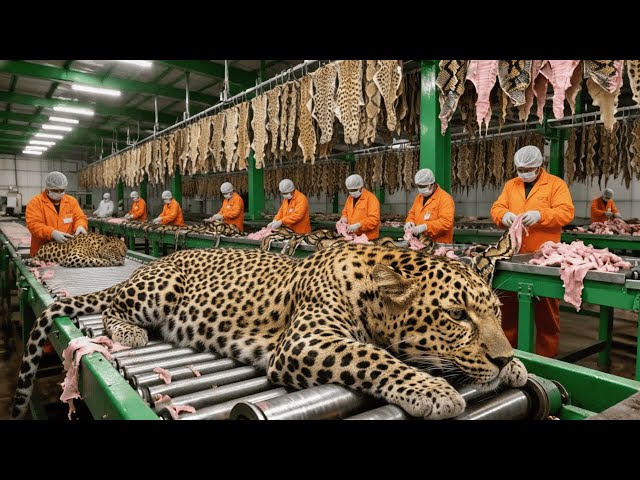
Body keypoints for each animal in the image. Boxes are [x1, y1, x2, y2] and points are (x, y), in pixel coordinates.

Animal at [11, 229, 527, 420]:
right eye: (457, 315)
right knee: (112, 308)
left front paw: (517, 368)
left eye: (497, 314)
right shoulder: (305, 341)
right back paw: (130, 332)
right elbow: (373, 355)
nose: (504, 358)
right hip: (159, 289)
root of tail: (147, 265)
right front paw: (434, 390)